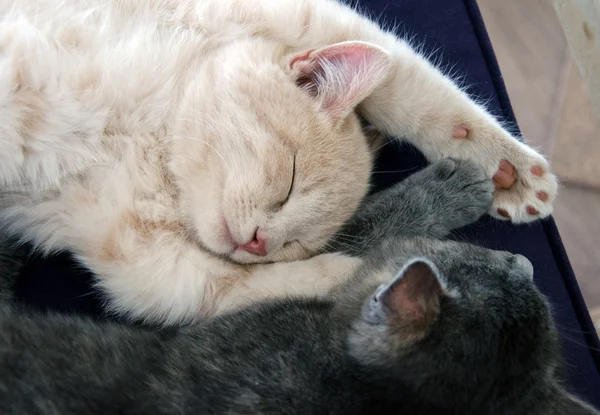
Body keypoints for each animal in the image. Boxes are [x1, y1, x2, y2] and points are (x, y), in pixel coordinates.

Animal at [0, 0, 556, 324]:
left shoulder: (140, 258)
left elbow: (227, 289)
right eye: (288, 181)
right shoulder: (255, 10)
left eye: (295, 243)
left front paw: (504, 169)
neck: (157, 145)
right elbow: (405, 78)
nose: (258, 241)